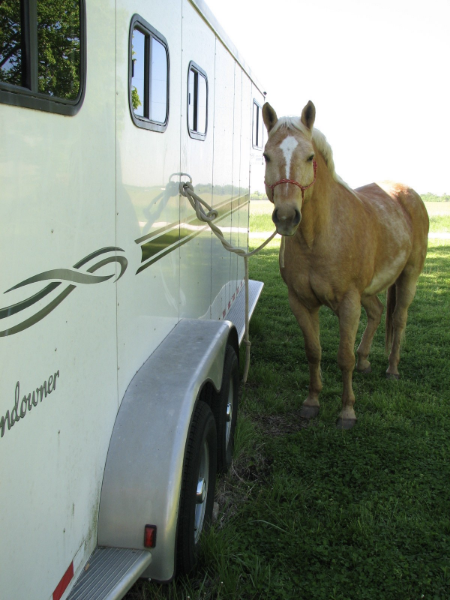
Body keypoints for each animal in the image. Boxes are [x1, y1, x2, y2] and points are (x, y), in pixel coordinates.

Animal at [264, 104, 428, 432]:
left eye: (309, 157)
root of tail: (408, 194)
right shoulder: (301, 302)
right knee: (377, 312)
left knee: (399, 319)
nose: (286, 217)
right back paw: (366, 361)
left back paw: (392, 369)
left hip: (409, 277)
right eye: (266, 156)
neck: (318, 238)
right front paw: (312, 402)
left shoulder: (349, 303)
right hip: (370, 290)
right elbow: (313, 352)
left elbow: (343, 357)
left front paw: (347, 412)